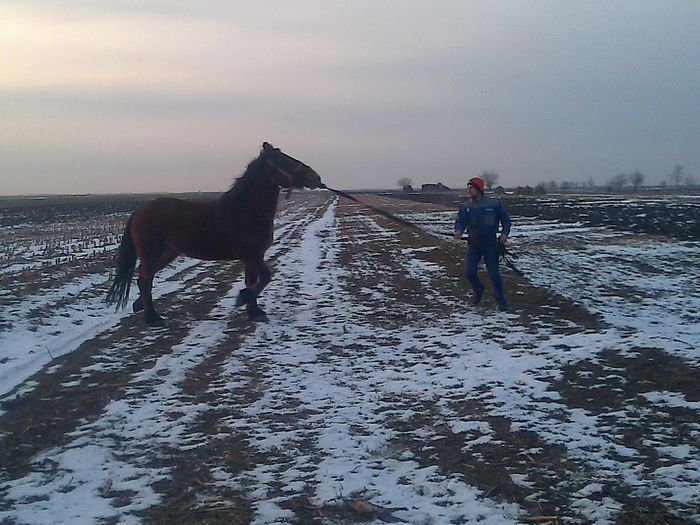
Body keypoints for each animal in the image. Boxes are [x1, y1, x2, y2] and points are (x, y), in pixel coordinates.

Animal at [105, 142, 324, 324]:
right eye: (283, 160)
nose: (317, 178)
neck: (245, 211)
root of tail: (139, 211)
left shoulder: (254, 257)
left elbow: (252, 280)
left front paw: (254, 311)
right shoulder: (252, 256)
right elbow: (265, 278)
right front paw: (244, 299)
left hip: (167, 253)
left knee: (145, 279)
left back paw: (141, 306)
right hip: (152, 253)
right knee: (145, 280)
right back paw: (152, 318)